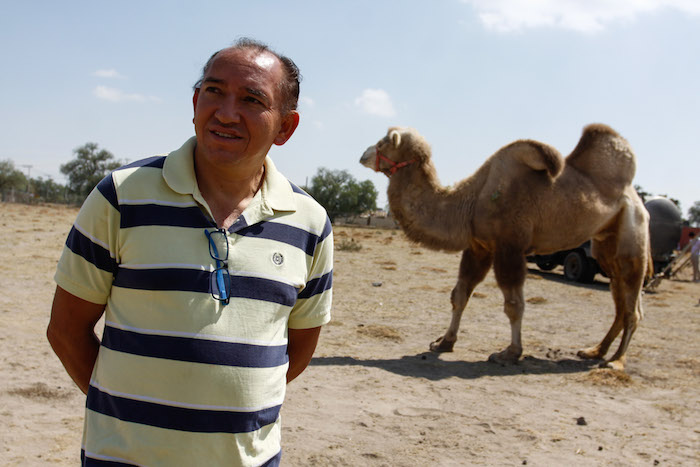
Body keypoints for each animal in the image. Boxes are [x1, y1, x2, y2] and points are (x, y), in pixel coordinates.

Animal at [360, 125, 652, 372]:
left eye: (384, 142)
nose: (363, 154)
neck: (470, 201)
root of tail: (637, 198)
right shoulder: (479, 247)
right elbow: (460, 295)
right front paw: (444, 342)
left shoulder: (508, 246)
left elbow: (514, 304)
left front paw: (509, 353)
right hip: (605, 243)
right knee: (620, 299)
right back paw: (595, 351)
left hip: (632, 235)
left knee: (633, 306)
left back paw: (616, 361)